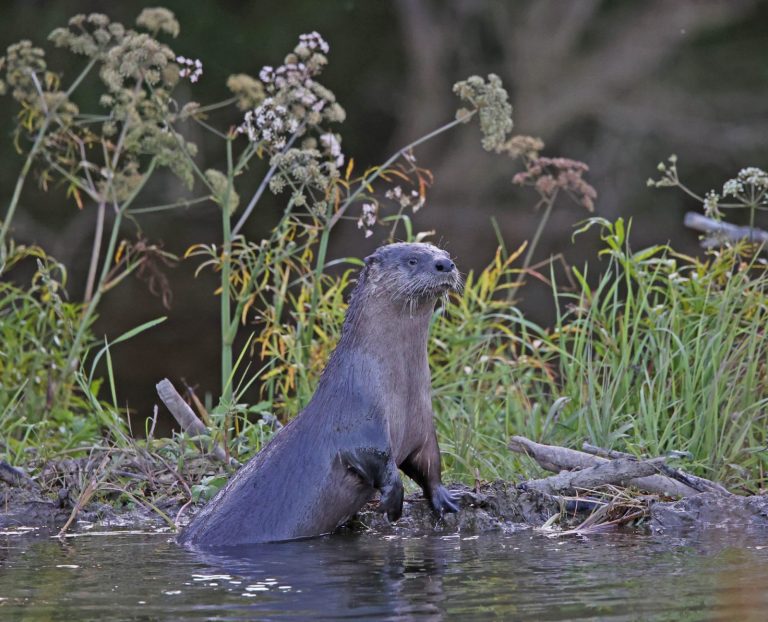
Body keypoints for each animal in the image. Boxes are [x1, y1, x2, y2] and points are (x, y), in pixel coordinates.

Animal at [178, 242, 461, 547]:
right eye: (412, 260)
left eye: (445, 253)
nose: (445, 264)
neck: (400, 389)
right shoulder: (357, 419)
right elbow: (374, 457)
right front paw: (393, 501)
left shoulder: (421, 425)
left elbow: (429, 463)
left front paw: (446, 499)